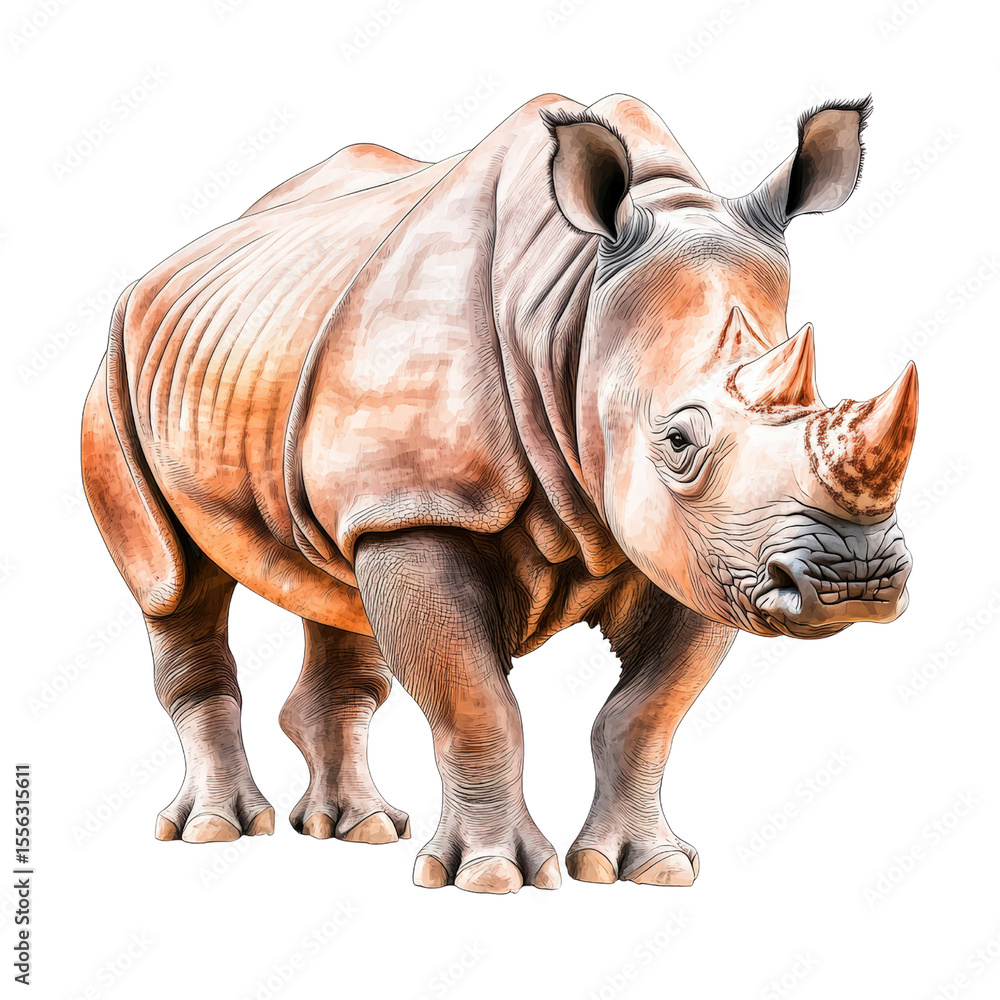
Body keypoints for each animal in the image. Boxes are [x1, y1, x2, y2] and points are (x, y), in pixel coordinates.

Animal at [82, 92, 917, 894]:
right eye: (680, 442)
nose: (853, 579)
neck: (574, 313)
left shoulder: (701, 548)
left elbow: (646, 713)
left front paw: (648, 869)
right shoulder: (423, 508)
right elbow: (477, 707)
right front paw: (492, 877)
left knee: (332, 583)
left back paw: (360, 828)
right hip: (115, 375)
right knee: (172, 582)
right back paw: (216, 829)